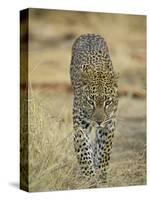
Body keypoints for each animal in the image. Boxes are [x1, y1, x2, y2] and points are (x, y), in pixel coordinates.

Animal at [69, 33, 119, 183]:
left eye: (108, 102)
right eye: (91, 102)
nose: (99, 121)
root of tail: (89, 34)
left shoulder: (109, 125)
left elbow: (104, 153)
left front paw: (101, 177)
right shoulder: (80, 127)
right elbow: (84, 153)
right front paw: (90, 179)